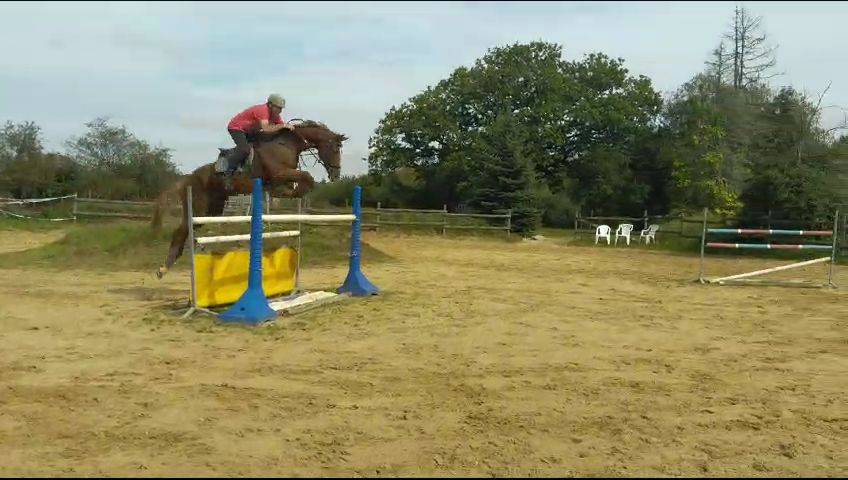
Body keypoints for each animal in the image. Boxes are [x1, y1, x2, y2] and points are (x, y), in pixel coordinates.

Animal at [151, 120, 347, 279]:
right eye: (335, 148)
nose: (336, 175)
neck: (287, 144)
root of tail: (188, 178)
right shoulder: (279, 173)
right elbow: (307, 177)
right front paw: (293, 192)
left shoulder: (283, 176)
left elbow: (299, 183)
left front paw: (291, 193)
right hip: (199, 208)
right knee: (180, 230)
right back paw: (163, 268)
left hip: (213, 210)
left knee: (188, 230)